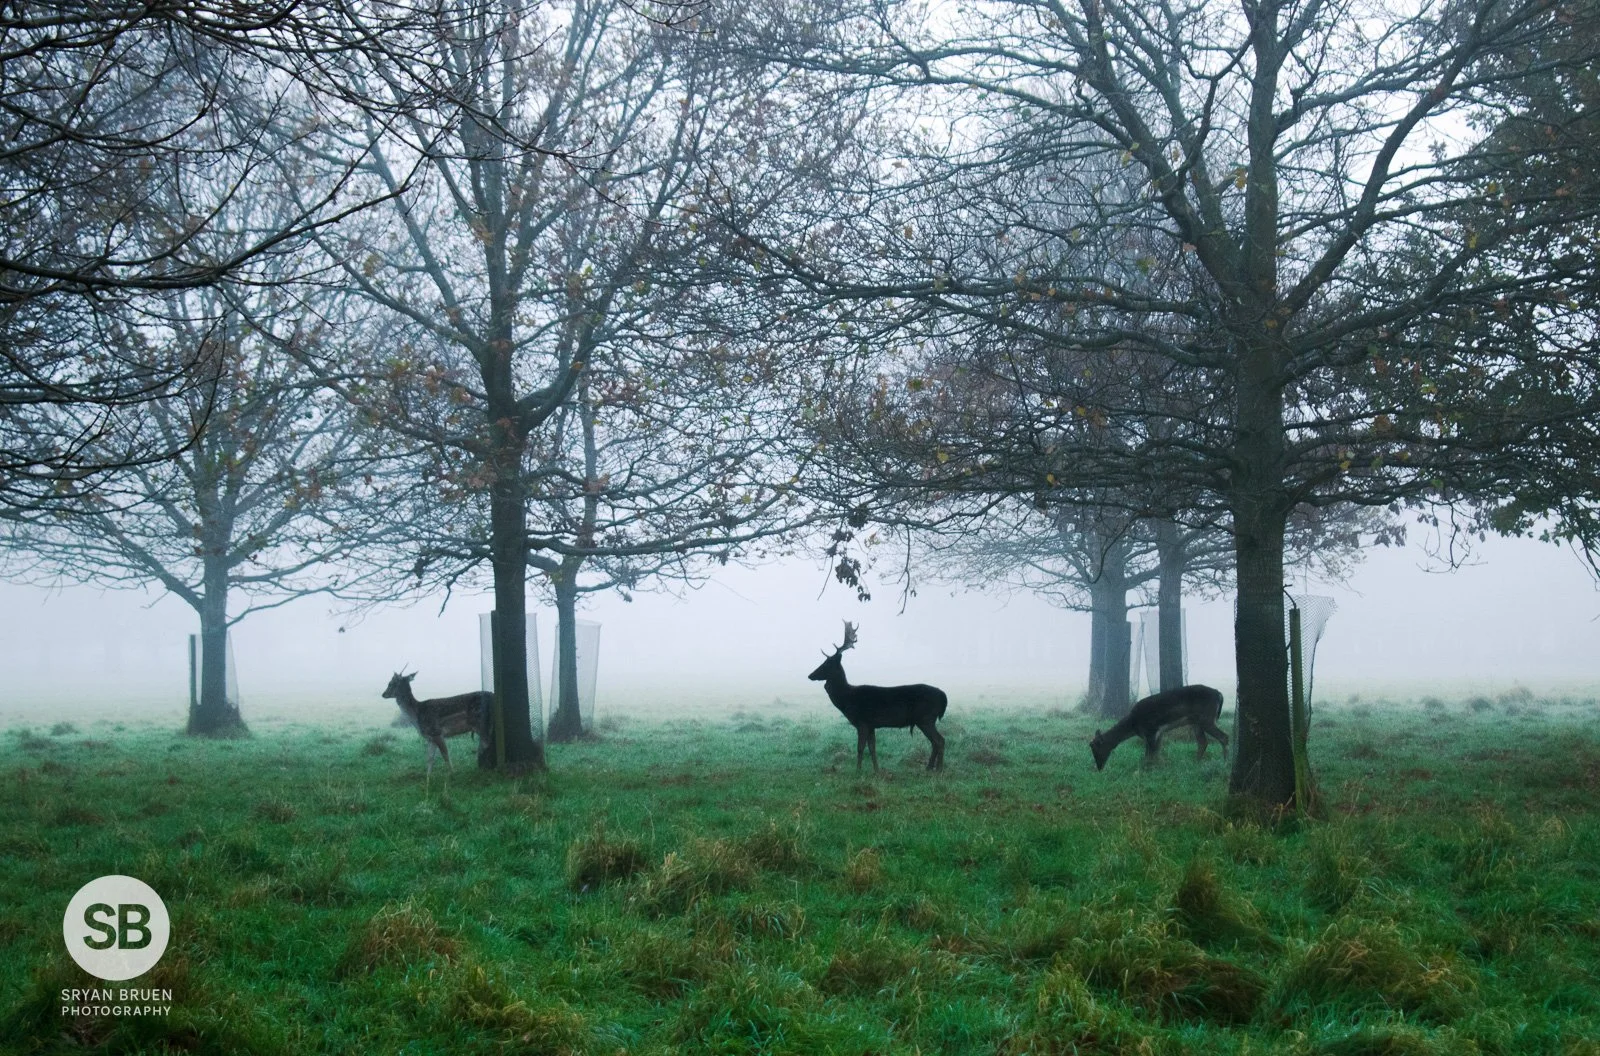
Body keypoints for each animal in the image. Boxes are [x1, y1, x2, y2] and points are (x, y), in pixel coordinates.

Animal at [808, 622, 948, 772]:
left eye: (826, 663)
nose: (810, 675)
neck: (847, 700)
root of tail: (943, 696)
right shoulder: (871, 725)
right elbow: (872, 748)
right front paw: (876, 770)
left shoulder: (862, 721)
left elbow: (860, 748)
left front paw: (858, 771)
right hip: (925, 719)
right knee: (935, 742)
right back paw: (929, 768)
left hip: (926, 718)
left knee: (940, 740)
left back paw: (938, 770)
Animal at [1090, 683, 1229, 771]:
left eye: (1096, 748)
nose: (1099, 767)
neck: (1134, 725)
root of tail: (1219, 694)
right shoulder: (1157, 733)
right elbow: (1155, 752)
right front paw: (1158, 766)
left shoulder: (1151, 731)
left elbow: (1149, 754)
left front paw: (1145, 769)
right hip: (1196, 722)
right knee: (1203, 742)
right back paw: (1195, 763)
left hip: (1206, 718)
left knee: (1224, 737)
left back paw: (1225, 762)